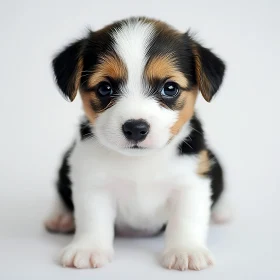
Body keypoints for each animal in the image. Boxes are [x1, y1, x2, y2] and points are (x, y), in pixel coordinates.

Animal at [45, 17, 228, 272]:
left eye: (170, 88)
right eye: (105, 88)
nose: (135, 128)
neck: (140, 161)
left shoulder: (191, 183)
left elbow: (186, 220)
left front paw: (186, 251)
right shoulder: (93, 184)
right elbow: (92, 219)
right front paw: (88, 248)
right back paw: (61, 217)